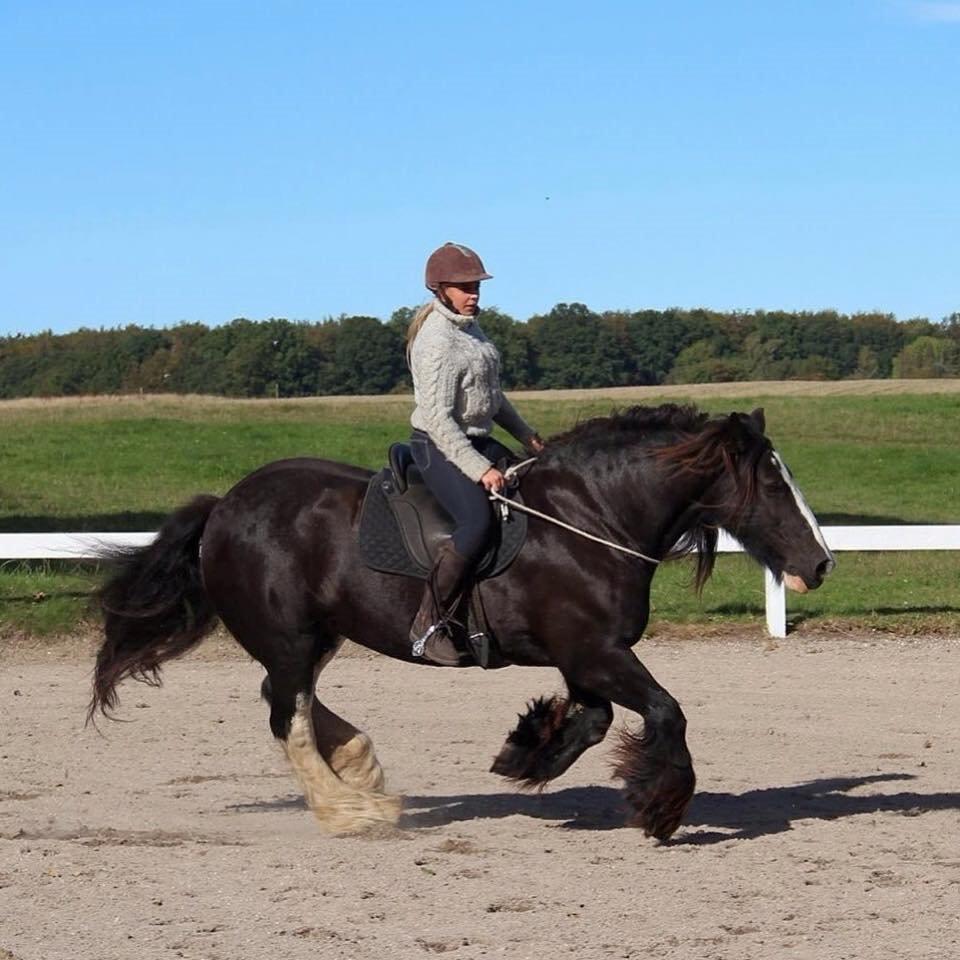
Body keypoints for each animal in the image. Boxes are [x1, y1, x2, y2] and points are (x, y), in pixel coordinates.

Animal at [94, 404, 836, 840]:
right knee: (288, 717)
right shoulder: (594, 651)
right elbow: (667, 711)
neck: (590, 520)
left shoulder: (584, 656)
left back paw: (360, 766)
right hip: (290, 638)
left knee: (288, 700)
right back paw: (351, 810)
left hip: (315, 637)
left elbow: (595, 721)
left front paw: (525, 752)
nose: (821, 563)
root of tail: (224, 505)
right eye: (772, 483)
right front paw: (661, 808)